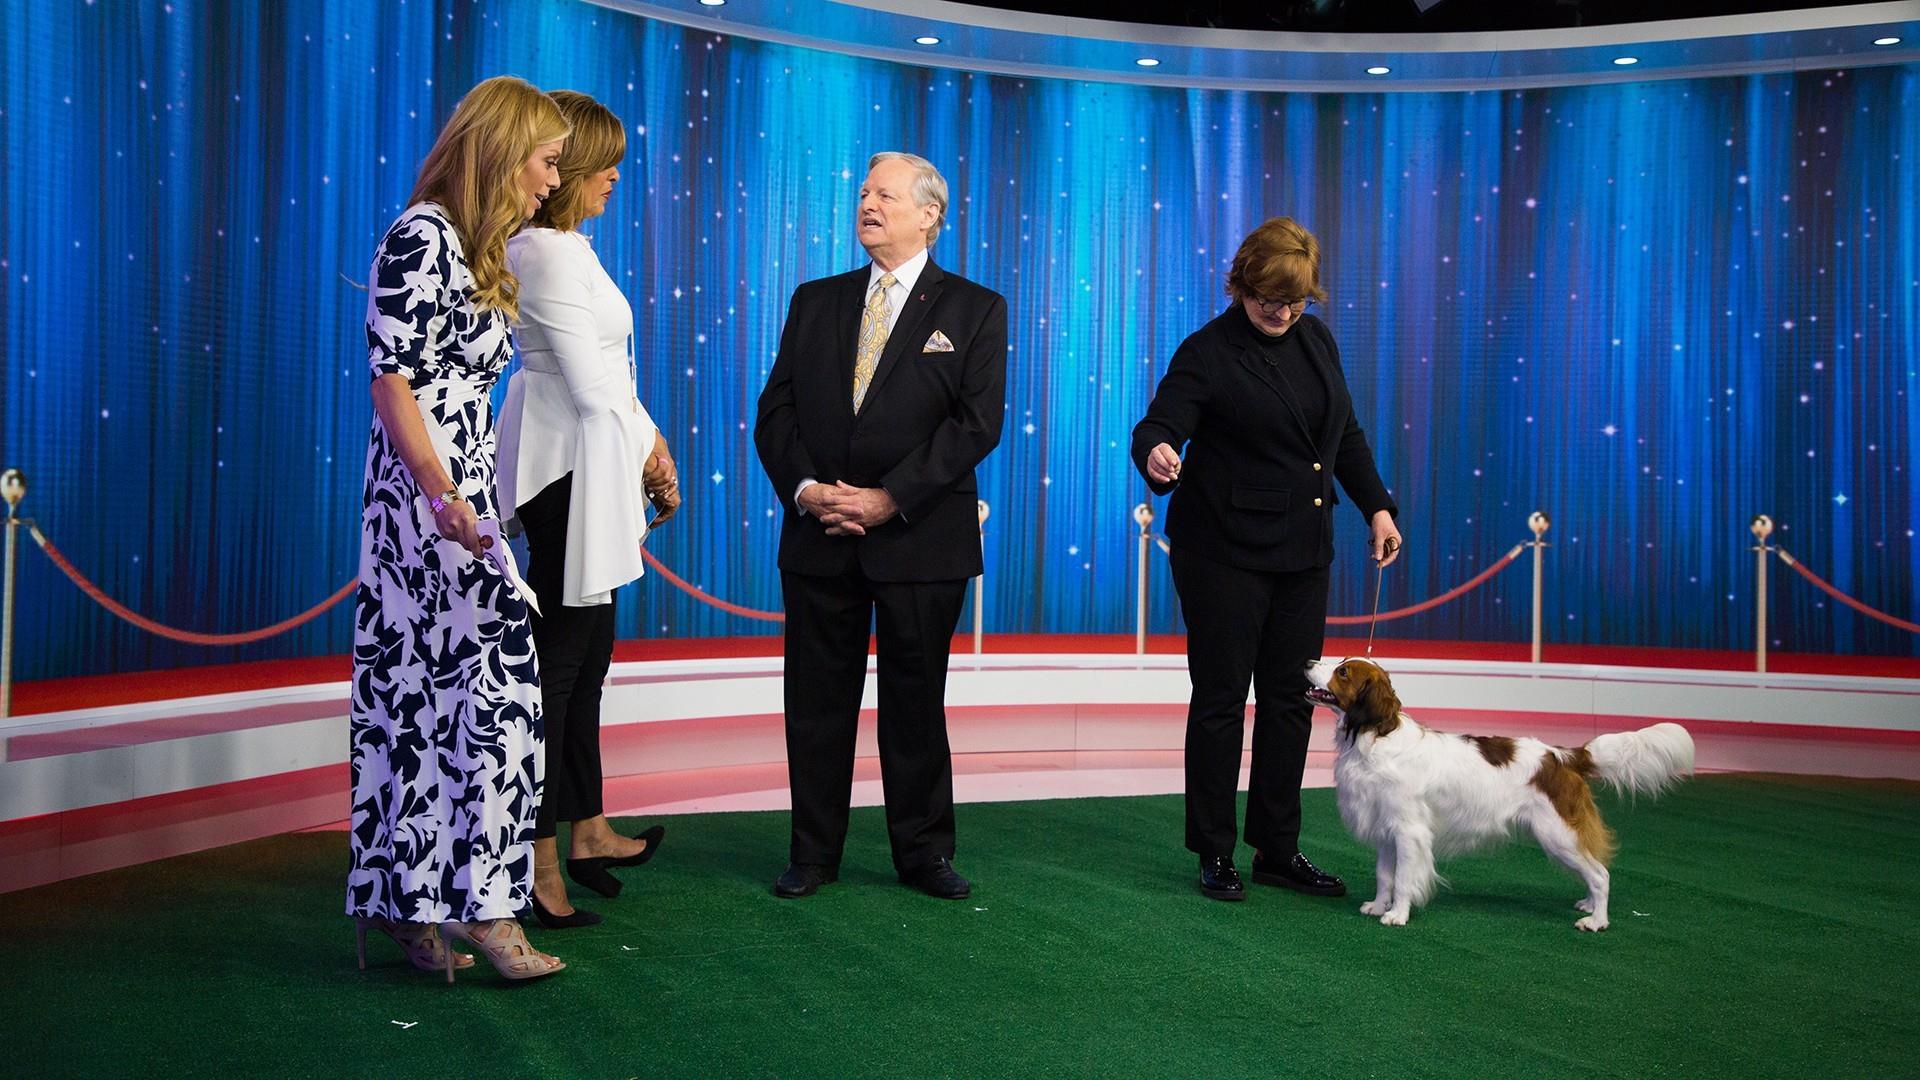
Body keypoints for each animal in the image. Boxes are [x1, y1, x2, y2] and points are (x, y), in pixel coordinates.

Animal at [1305, 653, 1697, 930]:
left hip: (1557, 833)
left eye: (1343, 672)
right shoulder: (1386, 828)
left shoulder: (1409, 831)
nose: (1308, 661)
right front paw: (1377, 906)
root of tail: (1563, 756)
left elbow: (1402, 879)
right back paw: (1588, 904)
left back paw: (1596, 920)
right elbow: (1385, 875)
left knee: (1600, 874)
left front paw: (1397, 914)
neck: (1375, 739)